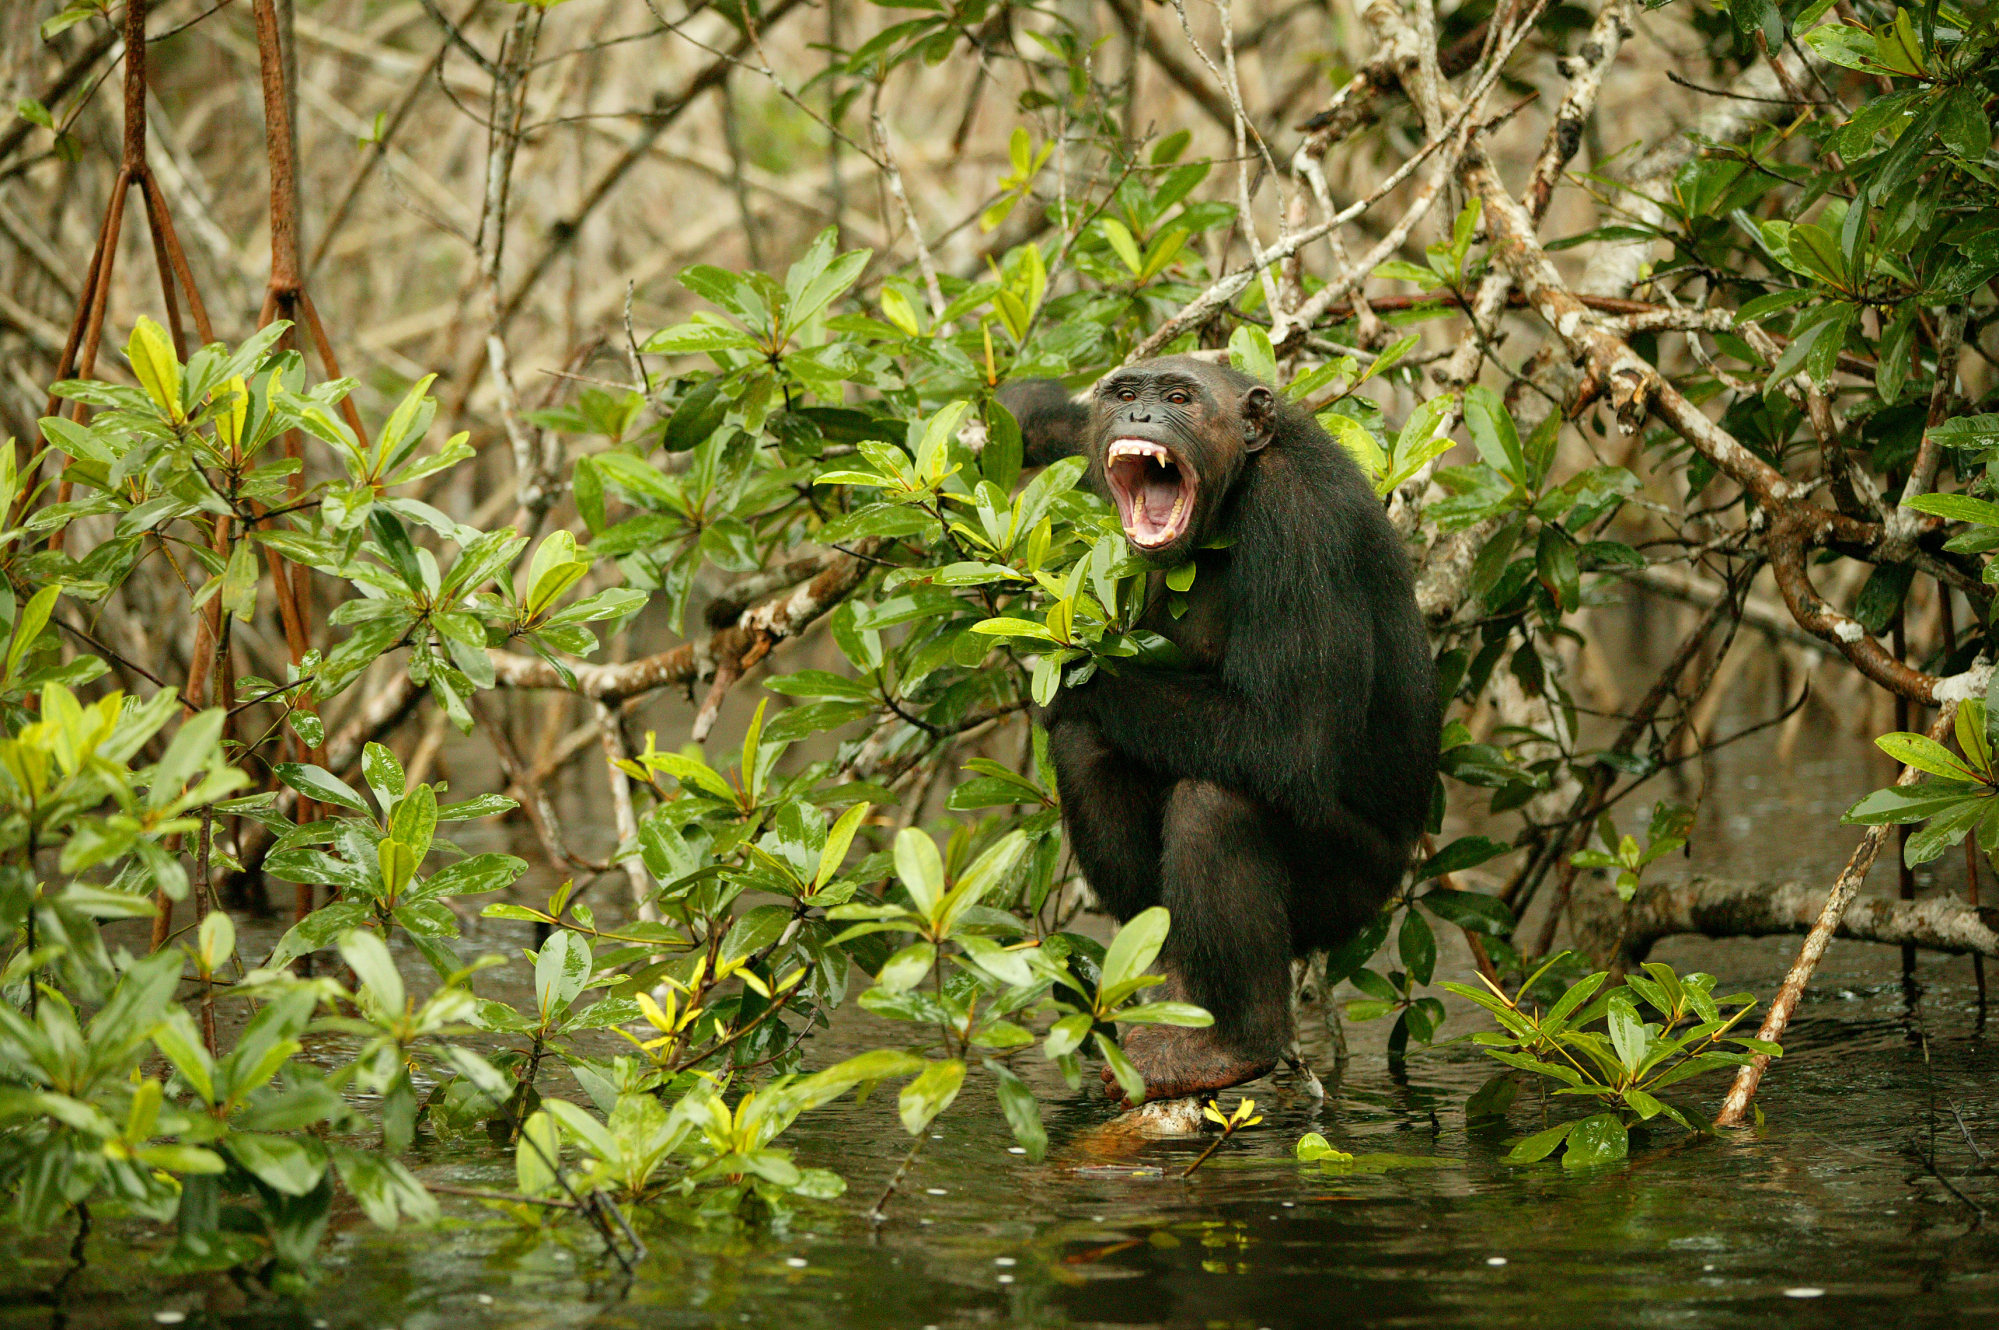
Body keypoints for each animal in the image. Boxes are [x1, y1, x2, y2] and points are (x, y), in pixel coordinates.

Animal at [999, 352, 1439, 1096]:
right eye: (1124, 392)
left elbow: (1283, 738)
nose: (1139, 413)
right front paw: (1019, 412)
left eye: (1180, 398)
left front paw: (1077, 680)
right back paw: (1174, 976)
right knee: (1088, 753)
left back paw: (1236, 1043)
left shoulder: (1298, 529)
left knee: (1215, 805)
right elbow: (1065, 437)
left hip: (1347, 893)